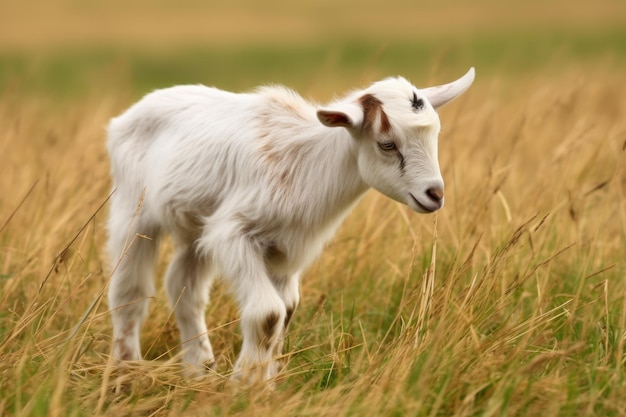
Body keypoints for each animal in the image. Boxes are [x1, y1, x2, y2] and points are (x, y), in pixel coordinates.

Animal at [105, 68, 472, 384]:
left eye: (435, 135)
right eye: (387, 144)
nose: (434, 194)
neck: (308, 160)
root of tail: (125, 117)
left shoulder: (285, 250)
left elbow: (287, 310)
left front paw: (266, 382)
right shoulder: (232, 232)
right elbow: (269, 314)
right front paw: (246, 384)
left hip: (195, 228)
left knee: (184, 287)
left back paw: (200, 369)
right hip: (132, 208)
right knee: (129, 288)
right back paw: (127, 369)